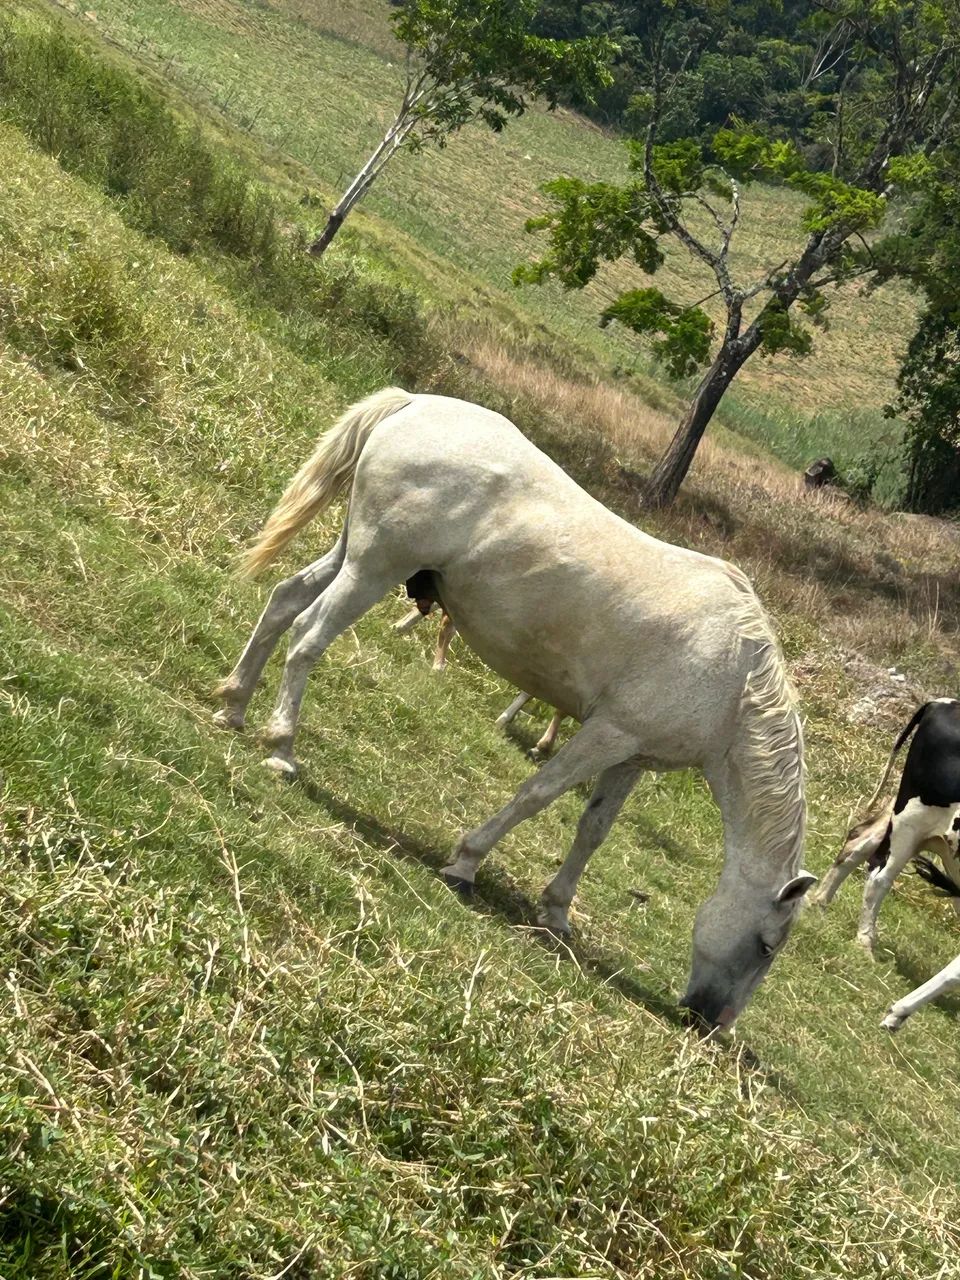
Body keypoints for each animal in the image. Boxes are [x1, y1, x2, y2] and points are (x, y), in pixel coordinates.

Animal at [214, 387, 815, 1029]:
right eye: (765, 945)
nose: (712, 1021)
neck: (734, 675)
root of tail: (413, 403)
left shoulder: (632, 756)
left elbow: (593, 830)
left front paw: (556, 913)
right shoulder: (606, 733)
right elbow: (536, 796)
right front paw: (465, 863)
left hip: (352, 556)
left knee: (284, 602)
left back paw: (234, 706)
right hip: (373, 570)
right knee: (306, 634)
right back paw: (281, 747)